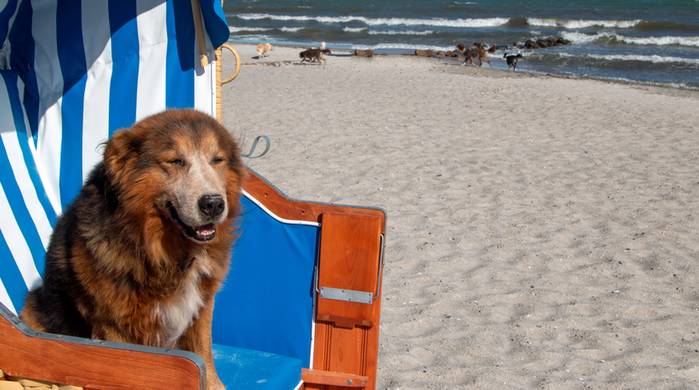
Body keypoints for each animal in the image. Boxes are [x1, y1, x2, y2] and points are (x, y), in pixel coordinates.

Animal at [20, 109, 245, 390]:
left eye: (217, 160)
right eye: (175, 161)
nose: (213, 204)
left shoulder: (202, 305)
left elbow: (204, 353)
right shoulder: (114, 325)